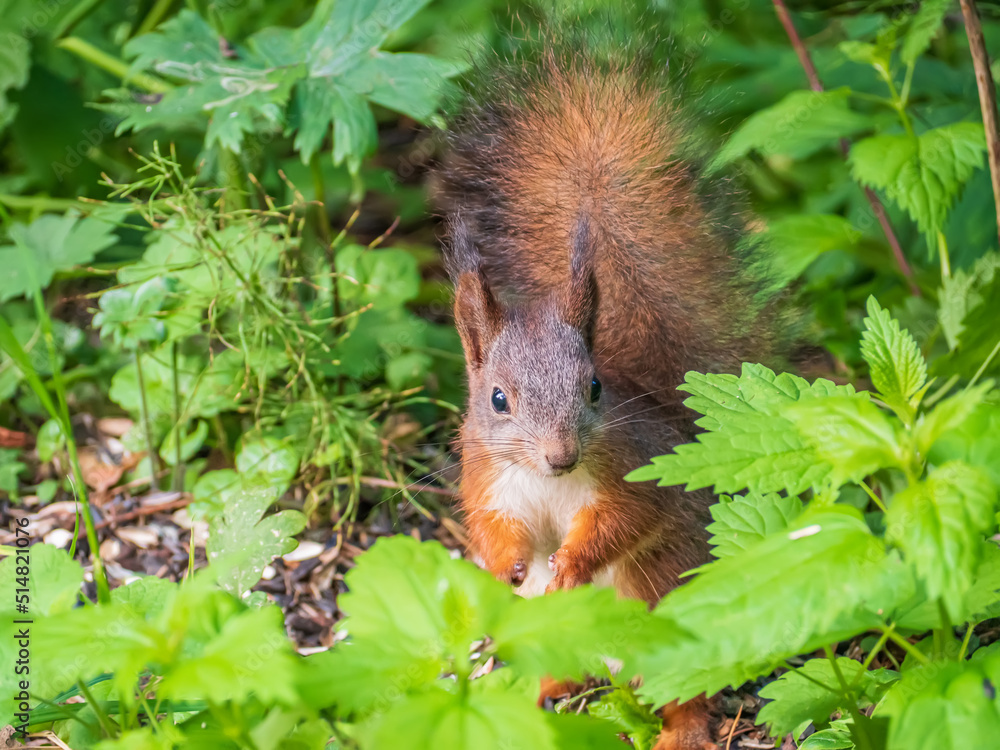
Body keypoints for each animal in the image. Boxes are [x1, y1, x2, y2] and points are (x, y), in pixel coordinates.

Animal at [434, 26, 784, 750]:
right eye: (498, 399)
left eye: (594, 388)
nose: (561, 455)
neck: (547, 481)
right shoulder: (488, 481)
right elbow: (492, 530)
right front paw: (508, 568)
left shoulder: (632, 471)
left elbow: (625, 518)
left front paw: (570, 564)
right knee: (568, 671)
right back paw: (538, 696)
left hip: (664, 604)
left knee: (685, 692)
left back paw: (678, 731)